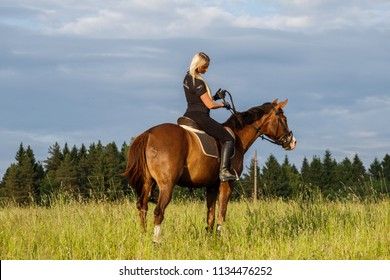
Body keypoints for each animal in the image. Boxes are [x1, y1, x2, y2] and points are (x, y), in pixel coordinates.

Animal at [123, 99, 294, 242]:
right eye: (284, 119)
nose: (292, 142)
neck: (238, 137)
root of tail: (148, 134)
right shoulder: (227, 184)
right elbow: (222, 212)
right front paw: (220, 239)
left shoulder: (211, 186)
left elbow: (210, 215)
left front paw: (210, 239)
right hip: (166, 185)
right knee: (158, 212)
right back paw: (156, 241)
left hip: (148, 183)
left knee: (142, 207)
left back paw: (144, 236)